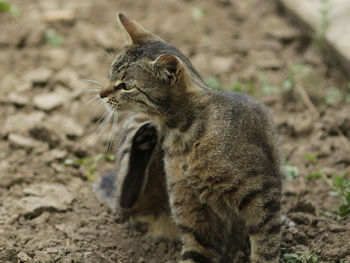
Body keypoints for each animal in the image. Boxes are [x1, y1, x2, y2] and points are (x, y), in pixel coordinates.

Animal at [94, 14, 284, 263]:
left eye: (126, 86)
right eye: (110, 74)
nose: (100, 93)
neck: (182, 133)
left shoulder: (262, 192)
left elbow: (265, 246)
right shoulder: (195, 211)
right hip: (136, 128)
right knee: (123, 198)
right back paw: (144, 143)